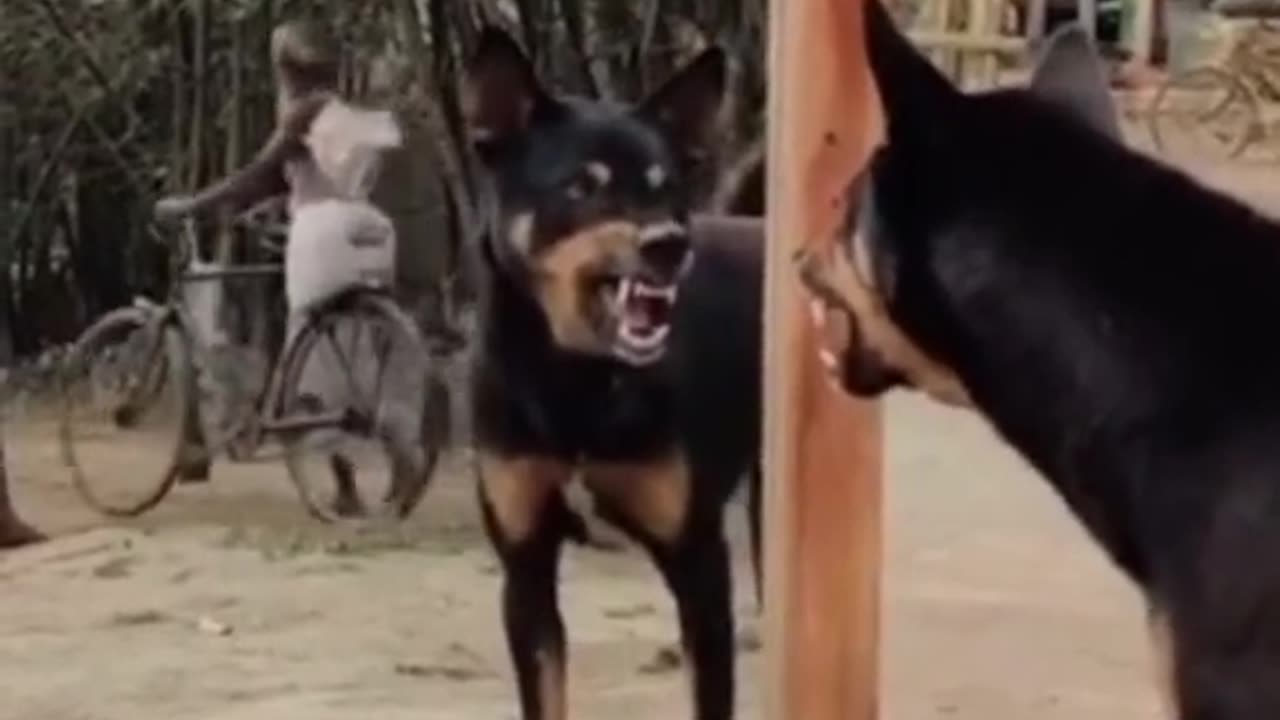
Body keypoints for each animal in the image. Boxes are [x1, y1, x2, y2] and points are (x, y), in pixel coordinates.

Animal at [460, 25, 757, 712]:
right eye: (581, 186)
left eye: (665, 185)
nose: (670, 244)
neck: (577, 383)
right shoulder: (525, 570)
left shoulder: (700, 564)